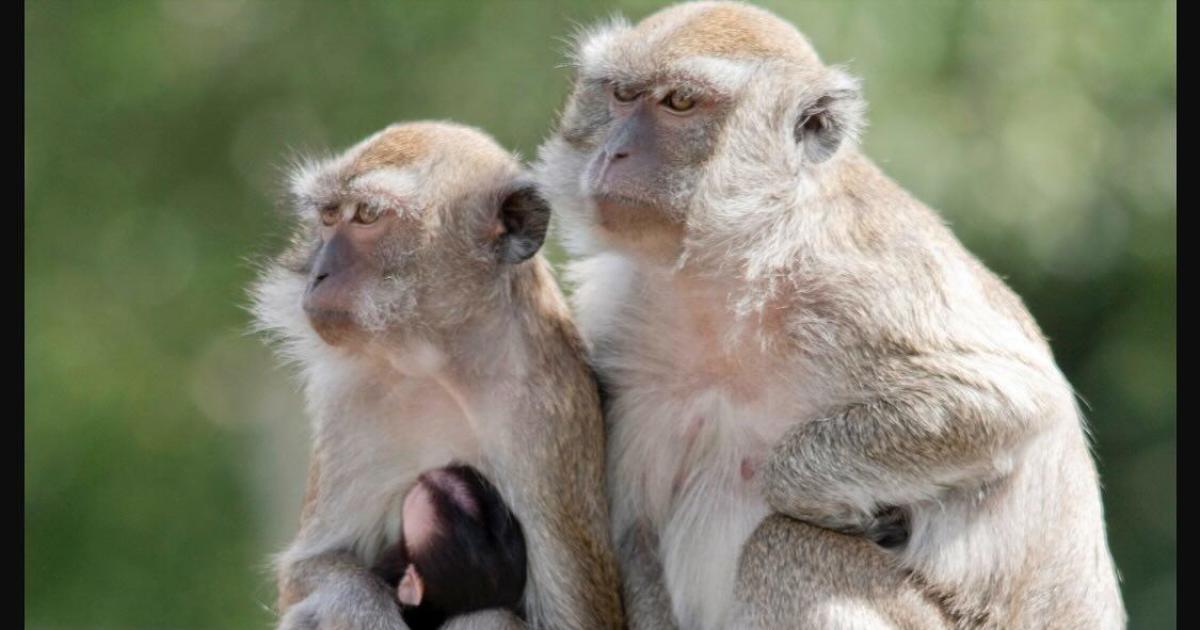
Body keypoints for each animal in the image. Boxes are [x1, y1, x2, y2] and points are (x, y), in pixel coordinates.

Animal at [534, 2, 1126, 629]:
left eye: (679, 103)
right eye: (622, 95)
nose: (614, 153)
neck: (729, 270)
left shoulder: (860, 282)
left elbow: (1007, 399)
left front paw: (809, 492)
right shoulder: (623, 329)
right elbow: (635, 535)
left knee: (784, 546)